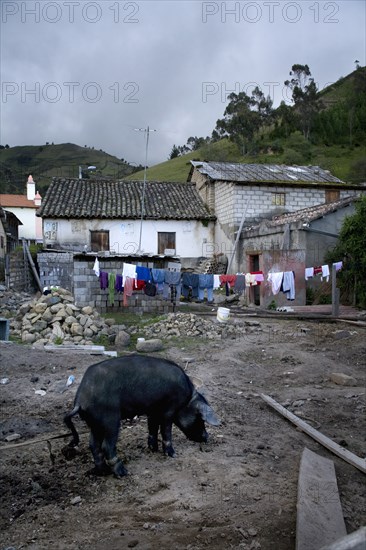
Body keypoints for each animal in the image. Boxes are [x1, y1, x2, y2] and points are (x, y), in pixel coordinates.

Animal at [63, 356, 220, 476]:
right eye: (200, 418)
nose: (207, 437)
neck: (186, 400)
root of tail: (80, 400)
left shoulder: (153, 411)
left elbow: (152, 428)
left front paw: (153, 449)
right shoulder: (168, 410)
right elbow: (166, 431)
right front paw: (173, 454)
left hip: (94, 423)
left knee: (93, 445)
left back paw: (103, 471)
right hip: (110, 419)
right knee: (106, 446)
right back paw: (123, 473)